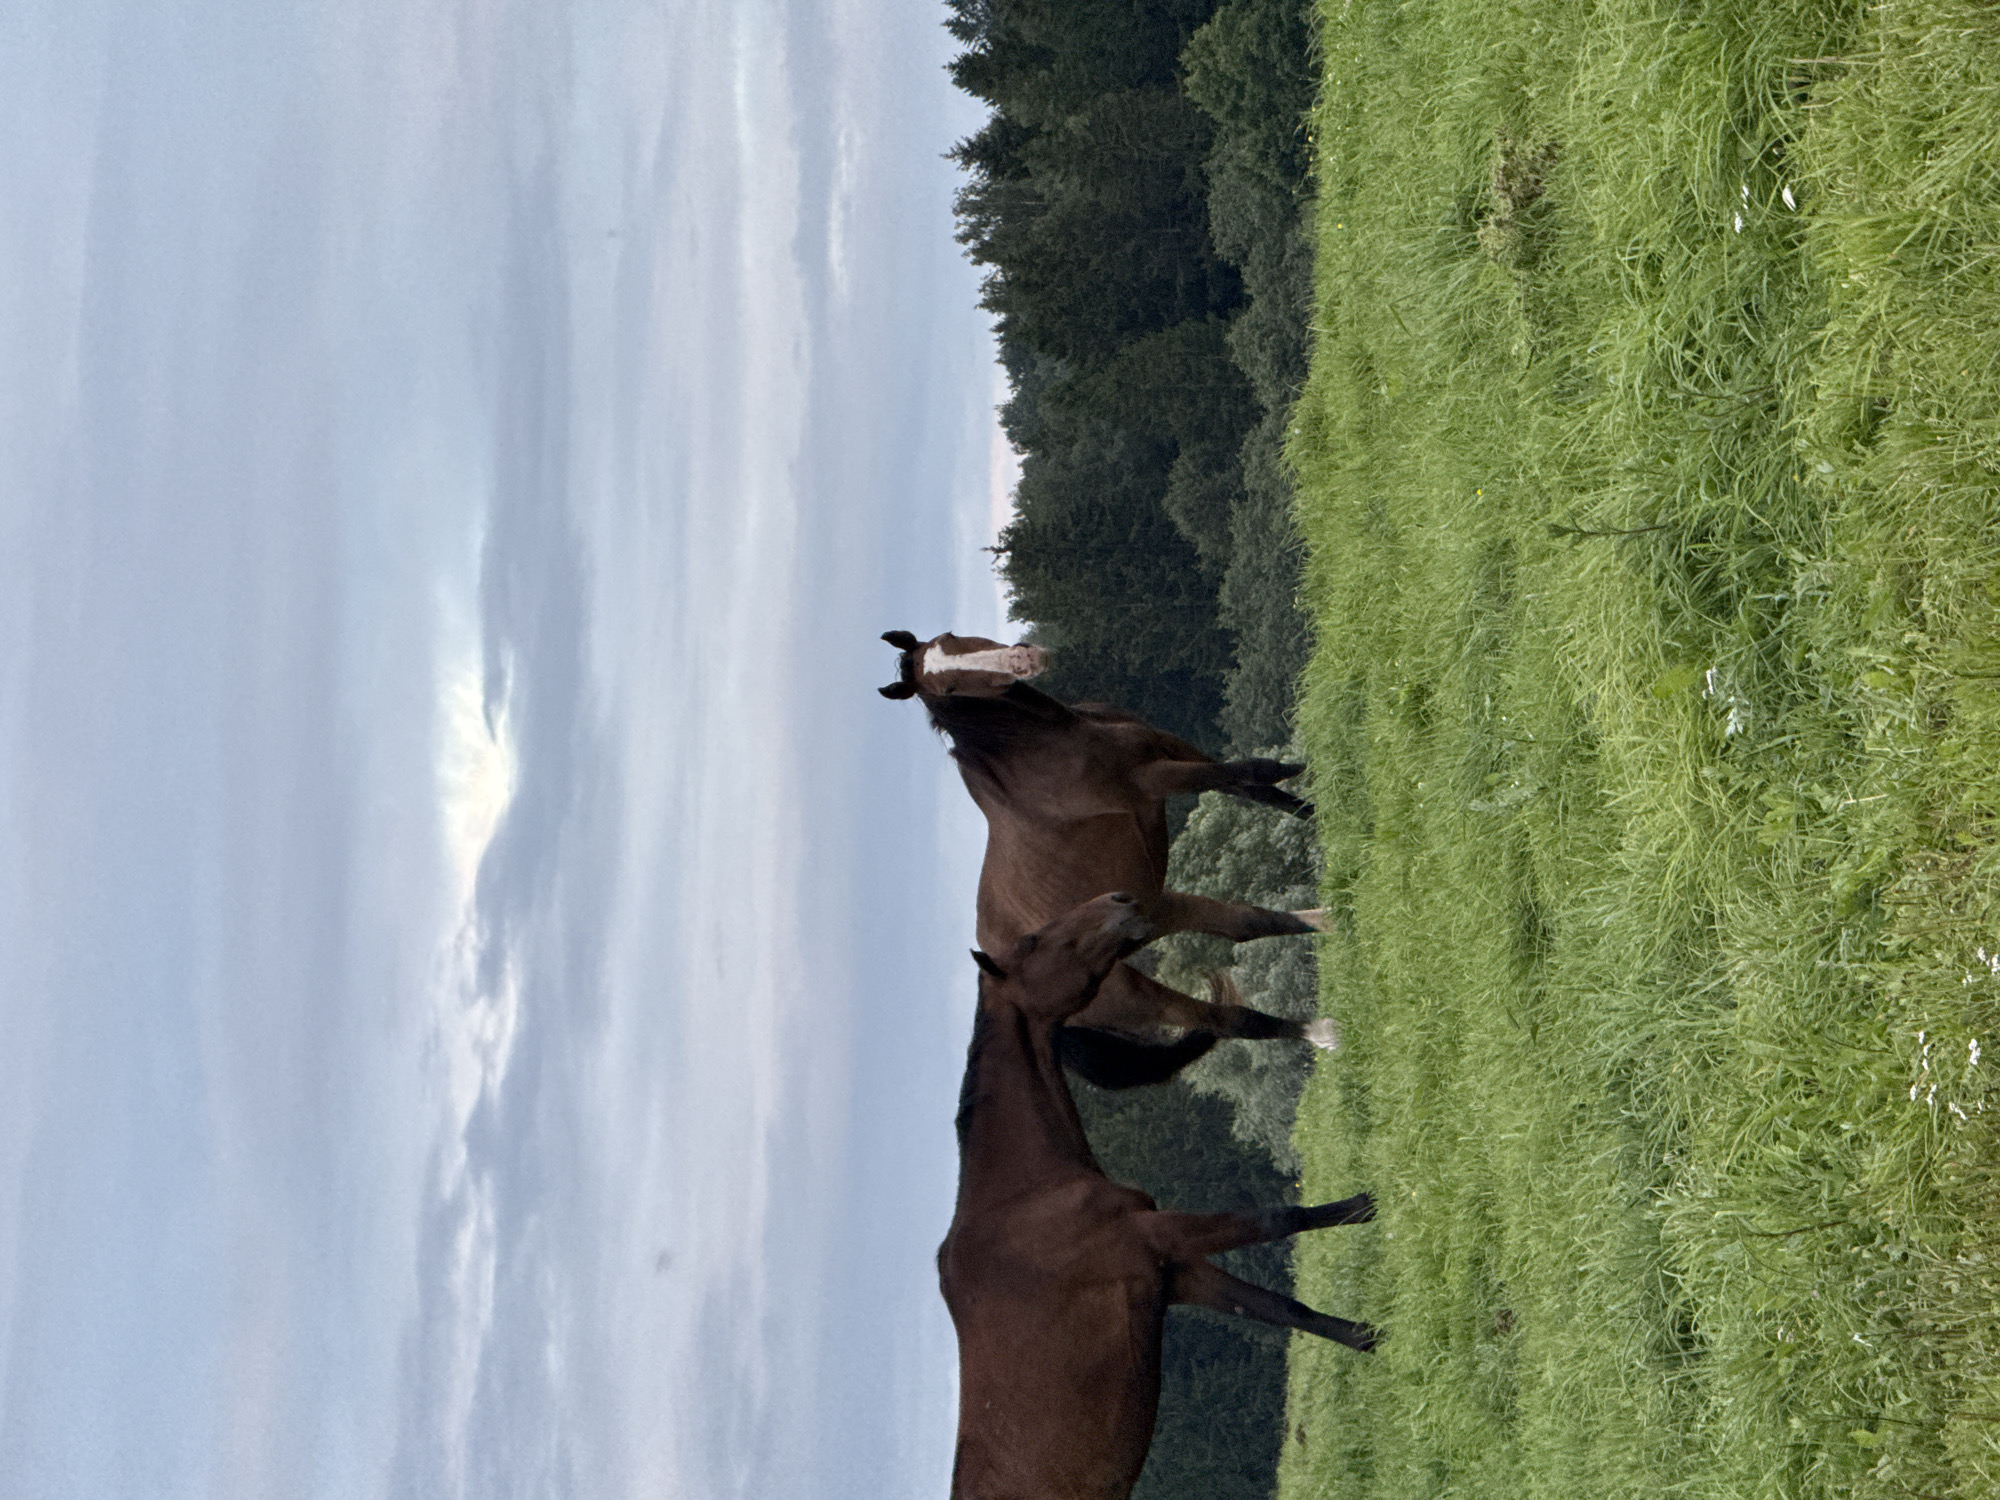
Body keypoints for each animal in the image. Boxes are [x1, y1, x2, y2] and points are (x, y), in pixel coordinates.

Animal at [880, 629, 1339, 1082]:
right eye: (948, 688)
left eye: (951, 637)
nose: (1023, 661)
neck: (1046, 746)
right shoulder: (1158, 777)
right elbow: (1252, 770)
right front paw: (1308, 764)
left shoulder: (1170, 744)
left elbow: (1257, 789)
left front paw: (1321, 812)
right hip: (1135, 995)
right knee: (1230, 1019)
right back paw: (1322, 1031)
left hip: (1158, 909)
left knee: (1247, 924)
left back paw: (1331, 922)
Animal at [940, 892, 1377, 1500]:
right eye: (1032, 941)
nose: (1118, 901)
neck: (1026, 1202)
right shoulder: (1158, 1235)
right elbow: (1275, 1218)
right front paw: (1363, 1206)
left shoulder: (1175, 1273)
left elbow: (1285, 1309)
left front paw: (1367, 1337)